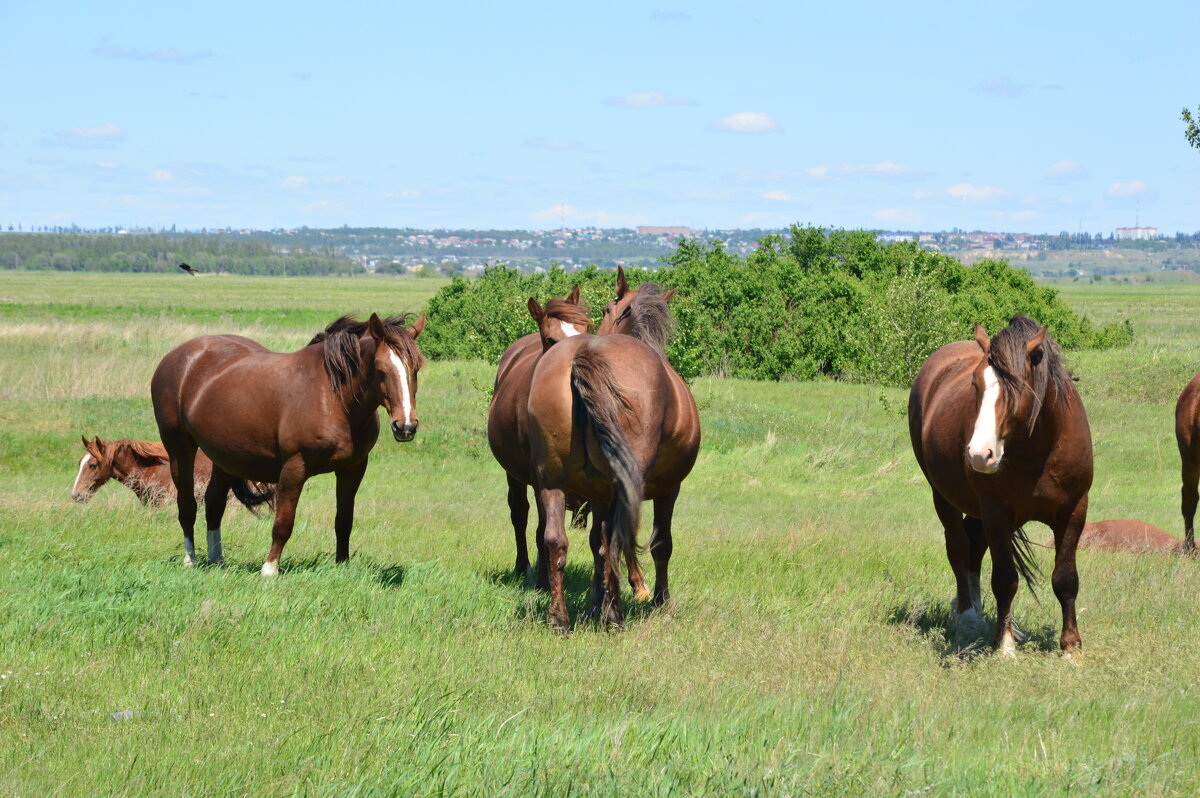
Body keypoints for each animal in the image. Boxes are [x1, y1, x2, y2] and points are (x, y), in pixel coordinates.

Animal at [152, 312, 427, 573]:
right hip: (179, 448)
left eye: (416, 368)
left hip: (226, 457)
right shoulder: (295, 467)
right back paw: (191, 560)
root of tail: (178, 356)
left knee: (214, 503)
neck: (333, 398)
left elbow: (343, 521)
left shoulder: (353, 469)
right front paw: (269, 569)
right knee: (187, 506)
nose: (405, 426)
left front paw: (342, 564)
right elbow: (283, 523)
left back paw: (217, 560)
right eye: (380, 369)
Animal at [528, 273, 700, 628]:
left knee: (557, 539)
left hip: (552, 481)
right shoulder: (670, 488)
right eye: (609, 307)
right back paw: (614, 614)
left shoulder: (597, 493)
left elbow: (598, 543)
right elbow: (659, 543)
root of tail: (585, 354)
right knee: (620, 539)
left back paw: (560, 618)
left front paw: (597, 598)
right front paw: (660, 600)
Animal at [907, 314, 1099, 657]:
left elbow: (1065, 578)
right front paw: (1005, 644)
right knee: (959, 548)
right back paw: (968, 616)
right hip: (943, 497)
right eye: (975, 384)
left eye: (1018, 386)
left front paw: (1070, 646)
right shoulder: (996, 513)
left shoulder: (1074, 510)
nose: (978, 454)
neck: (1039, 448)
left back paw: (978, 611)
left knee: (974, 549)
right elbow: (1005, 579)